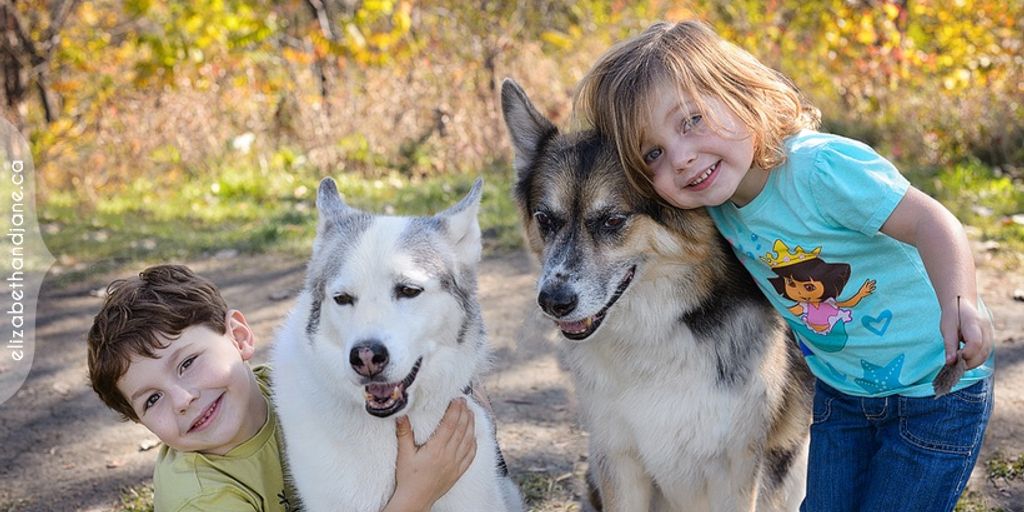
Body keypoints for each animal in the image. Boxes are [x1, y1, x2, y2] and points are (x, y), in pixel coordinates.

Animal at [499, 77, 811, 509]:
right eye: (545, 220)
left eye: (613, 220)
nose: (553, 302)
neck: (655, 333)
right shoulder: (617, 461)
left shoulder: (736, 470)